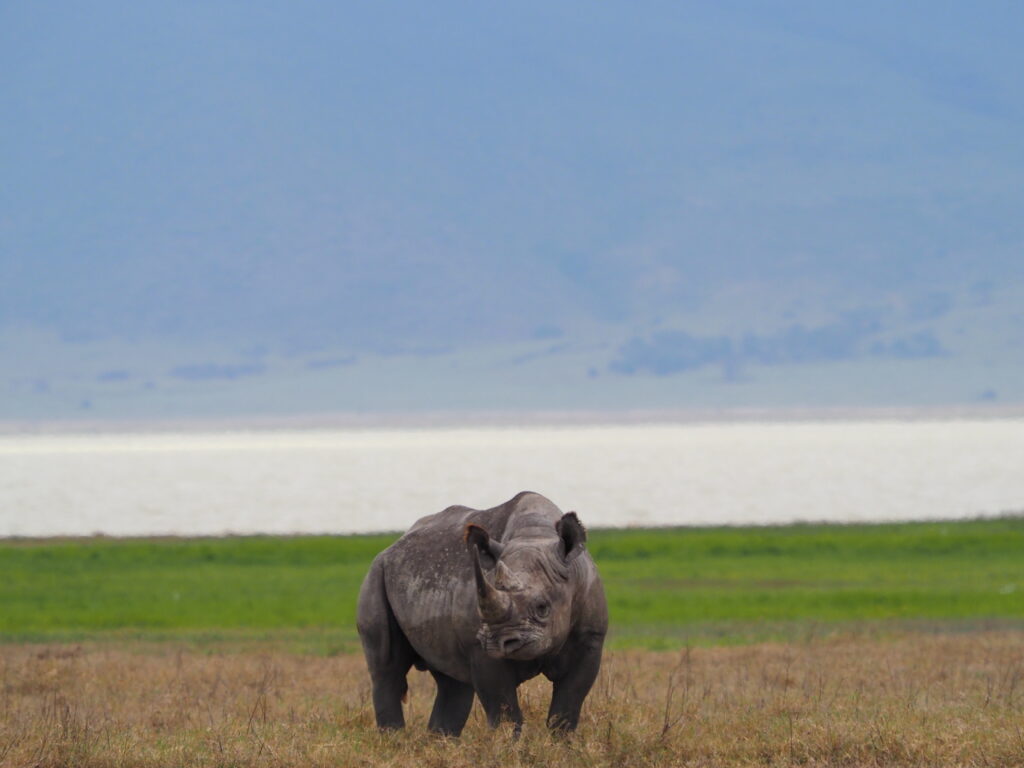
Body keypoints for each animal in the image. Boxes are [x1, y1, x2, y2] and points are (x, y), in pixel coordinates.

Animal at [357, 491, 607, 736]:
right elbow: (503, 711)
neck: (535, 536)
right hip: (376, 574)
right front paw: (507, 745)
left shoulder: (589, 638)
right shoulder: (480, 648)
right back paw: (394, 741)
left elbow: (567, 708)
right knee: (388, 670)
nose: (499, 643)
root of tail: (394, 545)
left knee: (453, 684)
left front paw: (560, 744)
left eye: (542, 608)